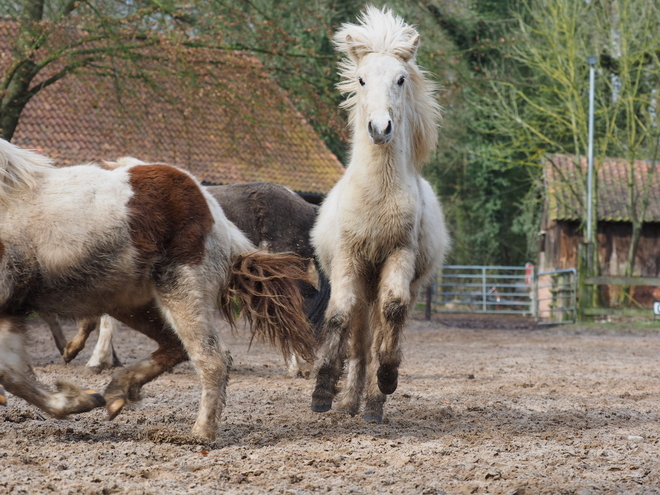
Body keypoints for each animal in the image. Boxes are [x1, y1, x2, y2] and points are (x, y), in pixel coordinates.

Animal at [0, 140, 314, 442]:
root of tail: (214, 211)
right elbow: (11, 372)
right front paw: (74, 399)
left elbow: (10, 371)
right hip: (129, 302)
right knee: (174, 345)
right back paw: (116, 389)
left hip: (180, 291)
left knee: (212, 358)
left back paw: (200, 434)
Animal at [310, 7, 448, 422]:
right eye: (361, 79)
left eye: (401, 79)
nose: (380, 127)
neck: (378, 196)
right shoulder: (347, 258)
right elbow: (338, 315)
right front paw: (322, 391)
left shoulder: (399, 255)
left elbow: (394, 310)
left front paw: (386, 380)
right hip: (362, 284)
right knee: (357, 338)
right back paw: (349, 402)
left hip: (402, 284)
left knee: (383, 326)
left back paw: (371, 403)